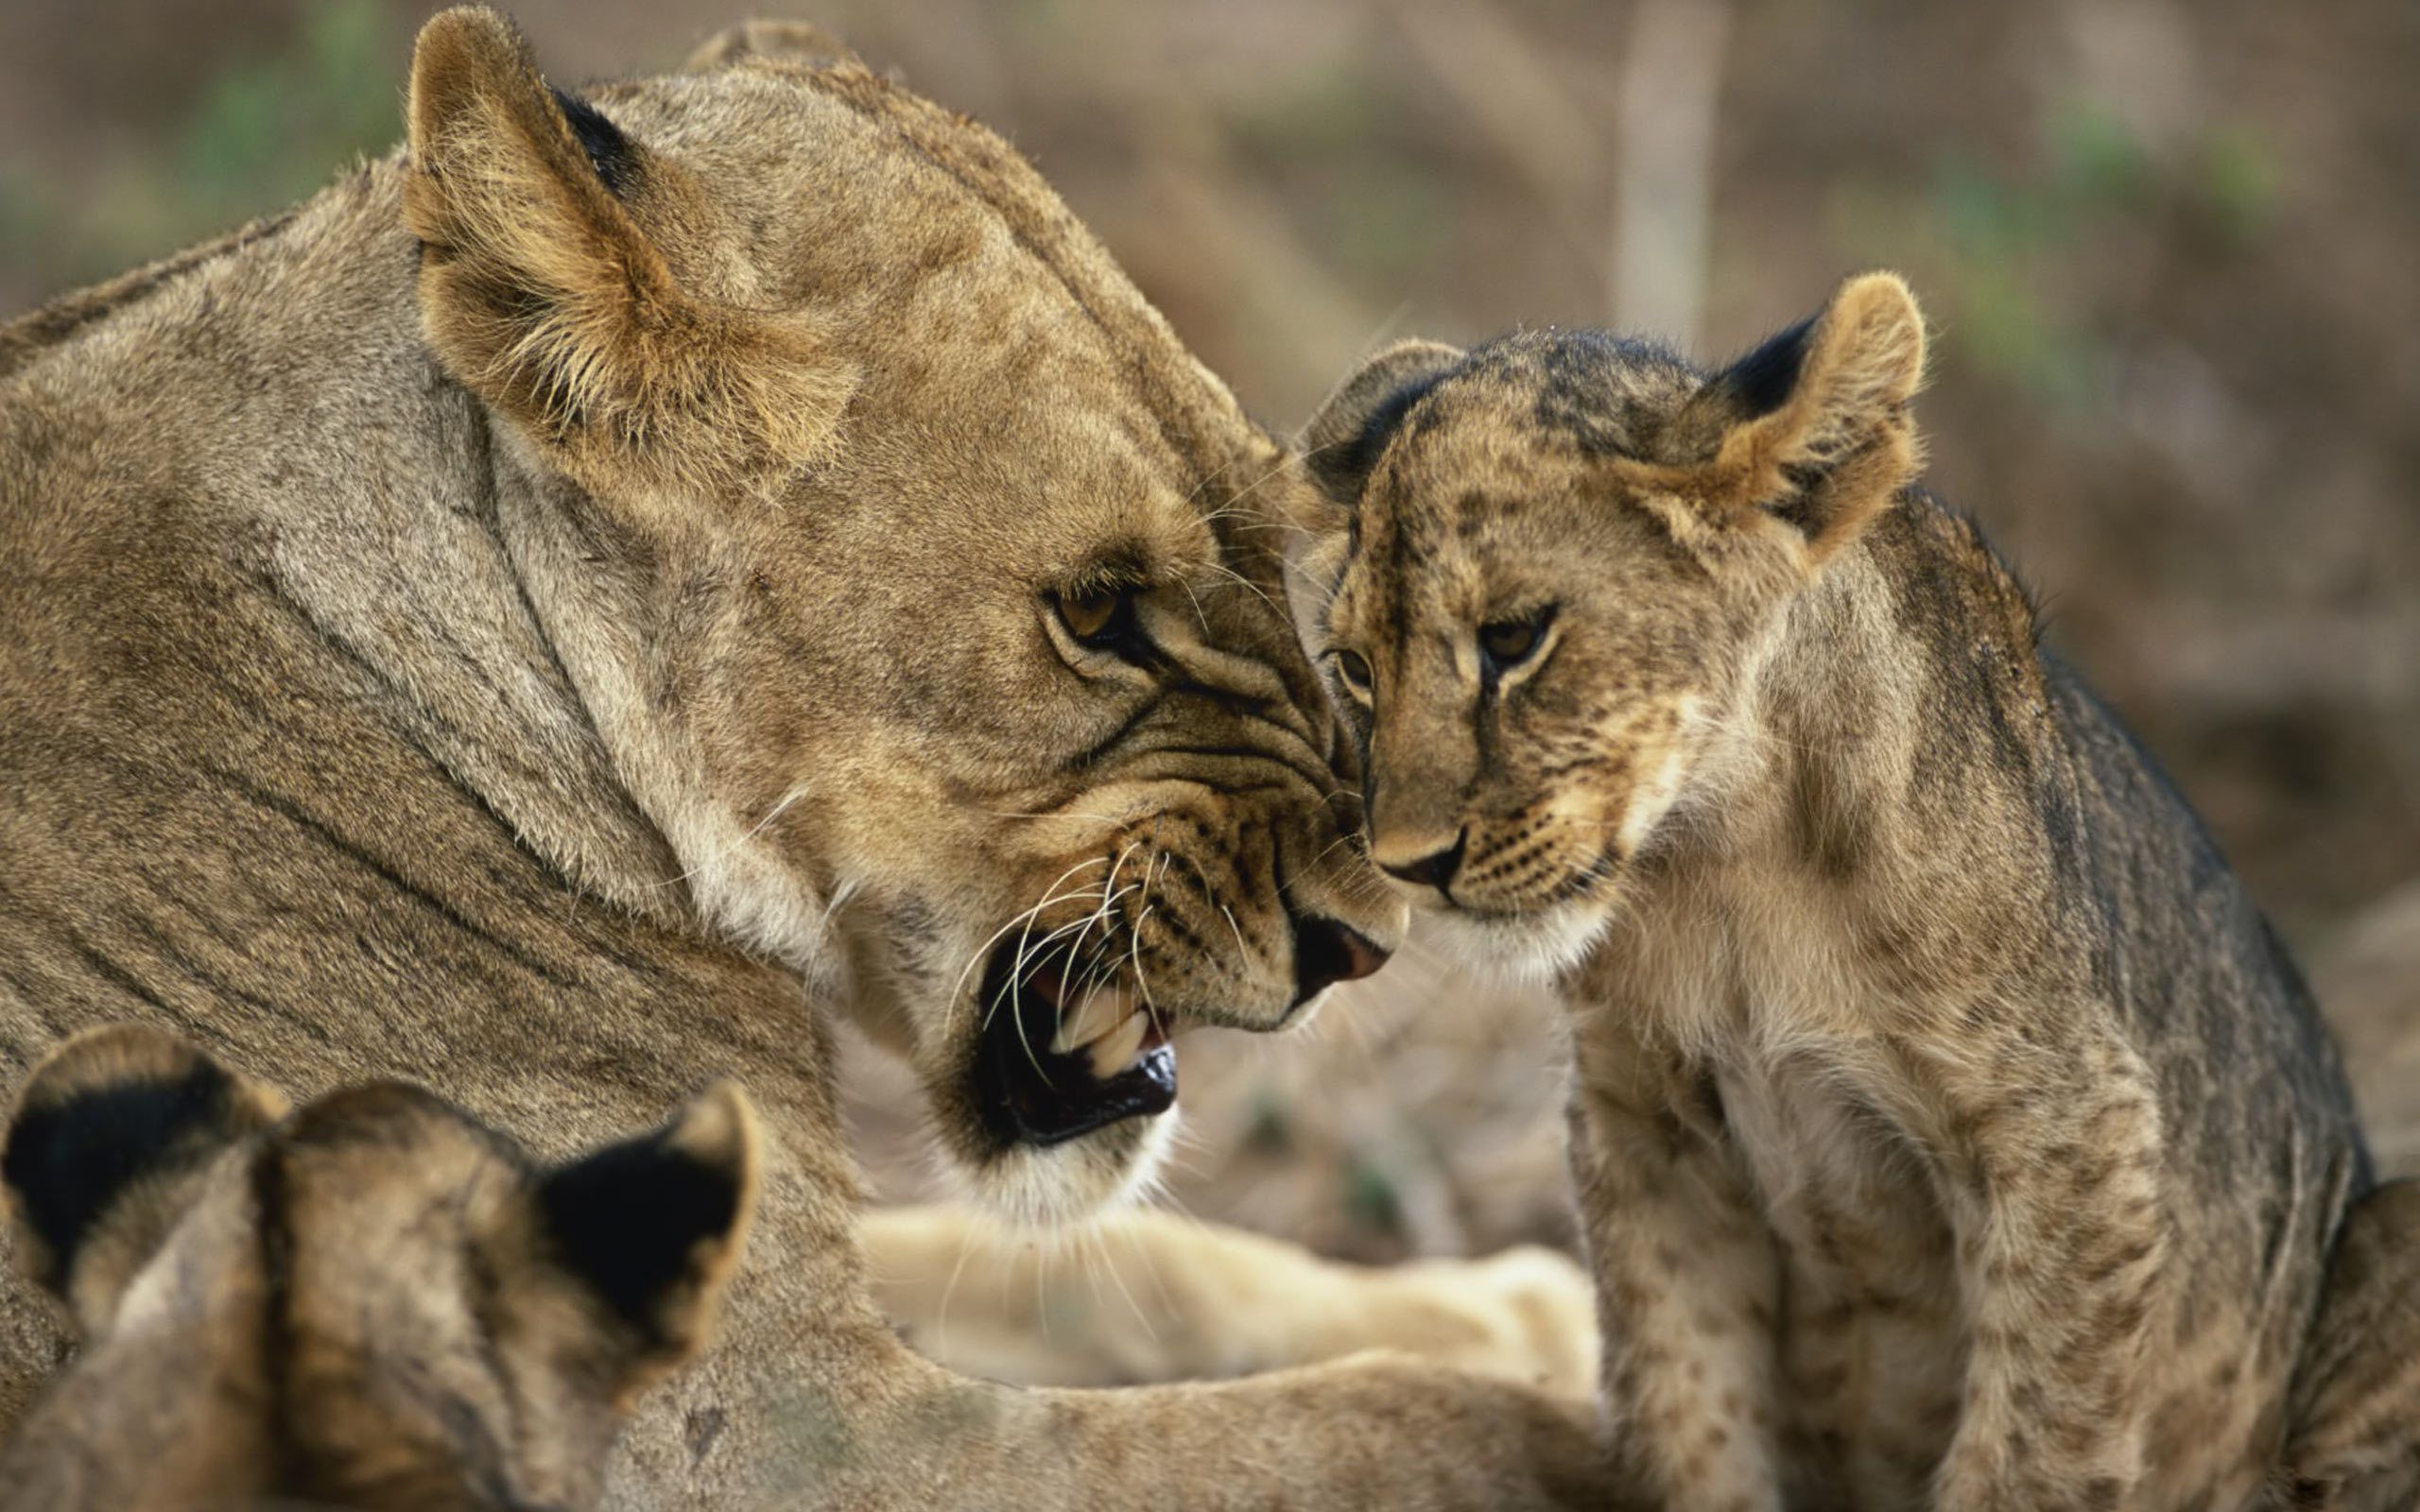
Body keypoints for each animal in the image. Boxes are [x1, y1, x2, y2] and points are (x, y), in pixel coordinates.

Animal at [1284, 272, 2420, 1510]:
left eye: (1512, 638)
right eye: (1354, 669)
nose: (1406, 862)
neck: (1725, 862)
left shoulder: (2073, 1128)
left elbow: (2030, 1448)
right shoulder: (1645, 1131)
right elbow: (1690, 1417)